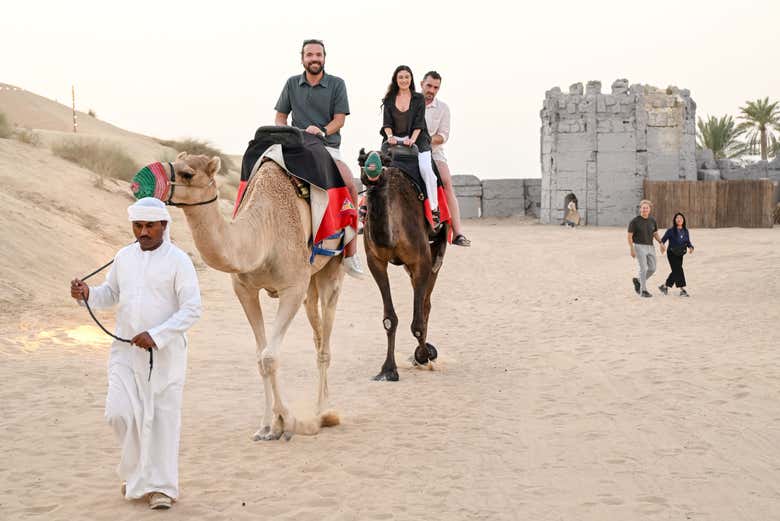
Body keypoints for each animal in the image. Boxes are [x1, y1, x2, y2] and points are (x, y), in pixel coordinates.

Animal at [166, 151, 342, 440]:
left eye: (188, 174)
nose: (143, 183)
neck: (263, 233)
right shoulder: (244, 289)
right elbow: (261, 357)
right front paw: (267, 426)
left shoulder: (293, 286)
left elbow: (270, 357)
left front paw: (286, 421)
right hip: (311, 282)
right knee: (316, 331)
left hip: (333, 266)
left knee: (326, 337)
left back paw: (325, 412)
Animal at [358, 148, 448, 381]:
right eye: (361, 160)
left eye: (384, 159)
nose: (372, 170)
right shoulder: (375, 261)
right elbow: (389, 319)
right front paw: (388, 370)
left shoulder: (421, 261)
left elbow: (417, 323)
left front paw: (424, 356)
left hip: (434, 254)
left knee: (426, 302)